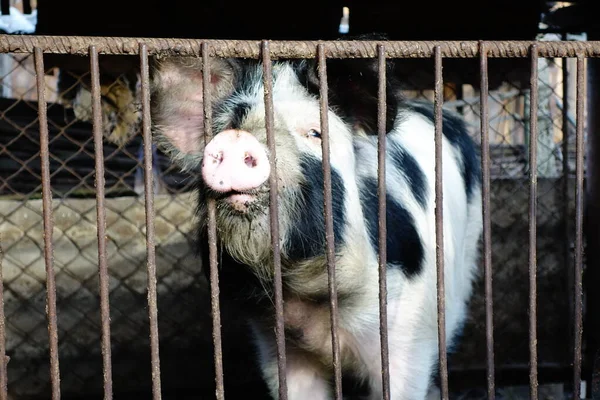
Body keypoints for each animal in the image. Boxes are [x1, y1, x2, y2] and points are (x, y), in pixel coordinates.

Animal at [150, 51, 482, 398]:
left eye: (315, 133)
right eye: (229, 125)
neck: (311, 298)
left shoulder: (406, 330)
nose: (236, 140)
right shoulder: (275, 341)